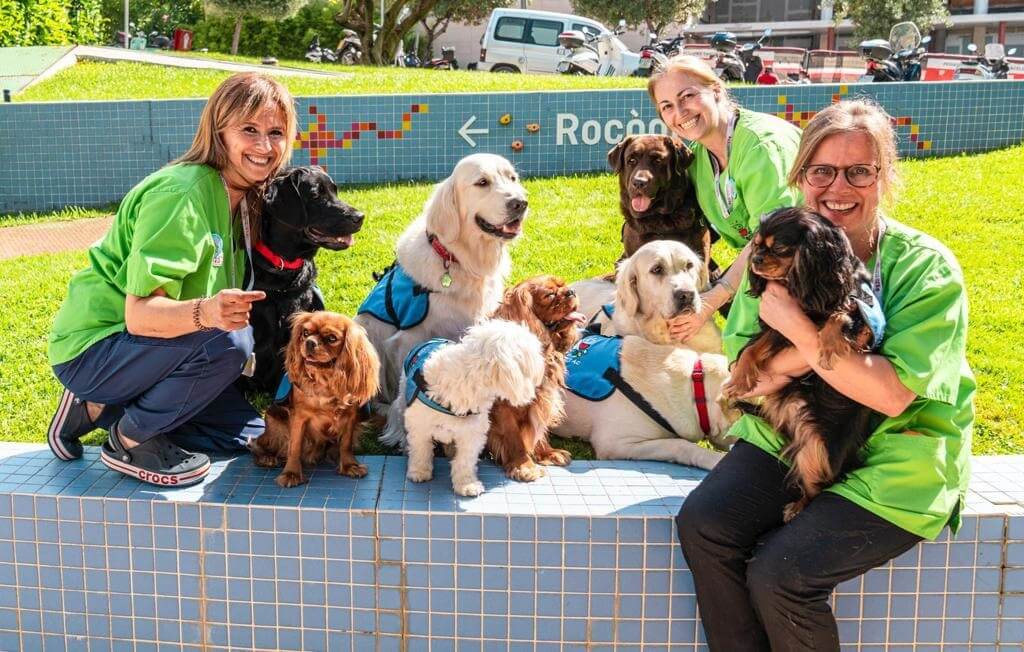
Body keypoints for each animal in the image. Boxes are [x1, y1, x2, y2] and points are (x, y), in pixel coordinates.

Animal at [380, 319, 544, 493]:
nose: (543, 365)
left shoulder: (472, 433)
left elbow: (465, 460)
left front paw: (467, 484)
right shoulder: (420, 426)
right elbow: (421, 450)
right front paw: (419, 471)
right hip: (403, 401)